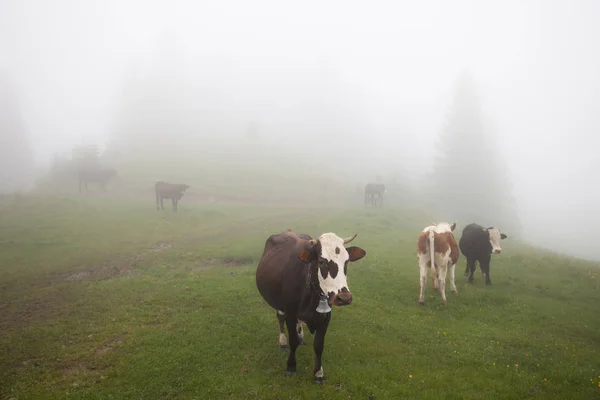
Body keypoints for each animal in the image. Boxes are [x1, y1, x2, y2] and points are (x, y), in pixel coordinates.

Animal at [254, 231, 366, 384]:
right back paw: (283, 342)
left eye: (347, 261)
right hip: (279, 304)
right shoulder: (290, 312)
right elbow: (293, 341)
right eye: (321, 261)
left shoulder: (325, 317)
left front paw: (318, 373)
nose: (344, 298)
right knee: (280, 317)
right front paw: (291, 366)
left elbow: (318, 346)